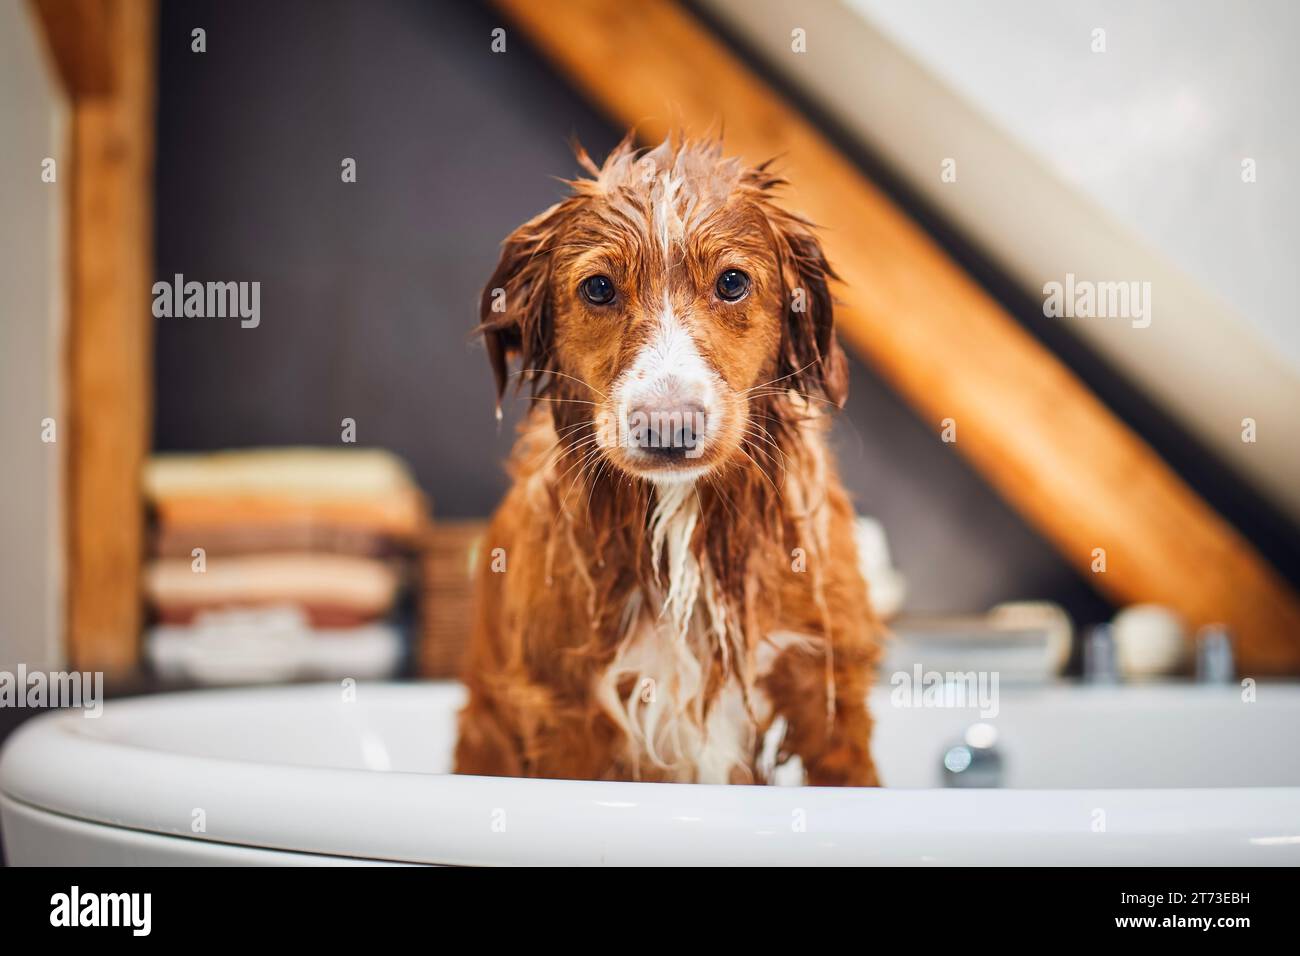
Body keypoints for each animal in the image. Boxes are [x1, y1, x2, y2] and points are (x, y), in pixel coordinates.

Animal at [452, 138, 878, 790]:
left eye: (732, 282)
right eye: (599, 289)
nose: (669, 424)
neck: (683, 527)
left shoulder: (828, 691)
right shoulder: (564, 712)